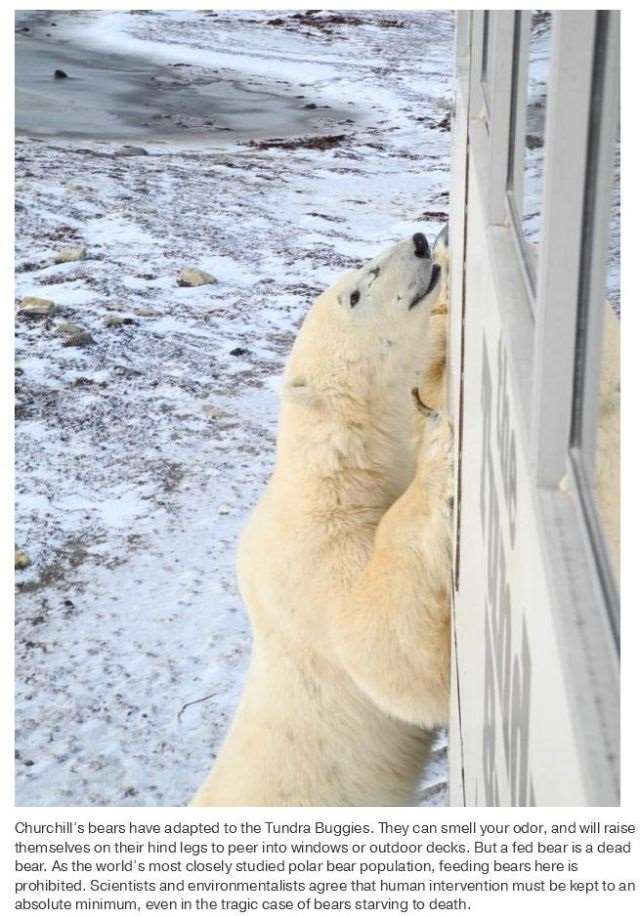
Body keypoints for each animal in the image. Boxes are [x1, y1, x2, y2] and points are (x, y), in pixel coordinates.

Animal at [191, 231, 456, 808]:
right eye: (356, 291)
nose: (421, 241)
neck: (335, 473)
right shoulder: (309, 560)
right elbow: (385, 653)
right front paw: (439, 453)